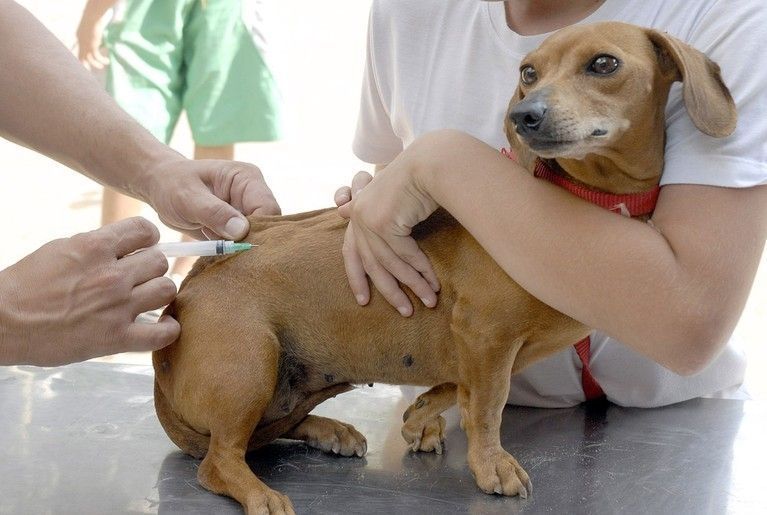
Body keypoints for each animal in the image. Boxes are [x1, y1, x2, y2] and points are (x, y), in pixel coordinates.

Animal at [153, 22, 736, 512]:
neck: (581, 200)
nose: (525, 117)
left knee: (264, 435)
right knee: (220, 461)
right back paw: (260, 493)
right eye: (528, 72)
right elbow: (487, 405)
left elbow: (461, 389)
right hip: (251, 366)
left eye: (604, 64)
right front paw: (491, 465)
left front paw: (421, 417)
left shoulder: (489, 347)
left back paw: (328, 431)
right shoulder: (486, 334)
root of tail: (186, 291)